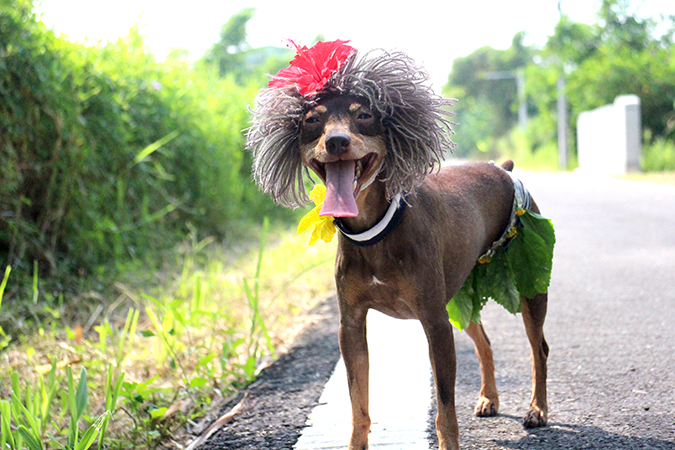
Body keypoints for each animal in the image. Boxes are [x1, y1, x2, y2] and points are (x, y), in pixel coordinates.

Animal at [246, 39, 552, 450]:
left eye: (364, 115)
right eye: (312, 120)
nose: (337, 141)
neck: (375, 229)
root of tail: (501, 169)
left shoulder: (435, 322)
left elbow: (445, 409)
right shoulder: (351, 326)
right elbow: (358, 405)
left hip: (526, 280)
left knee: (539, 348)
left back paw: (537, 409)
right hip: (458, 293)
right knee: (484, 340)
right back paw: (489, 398)